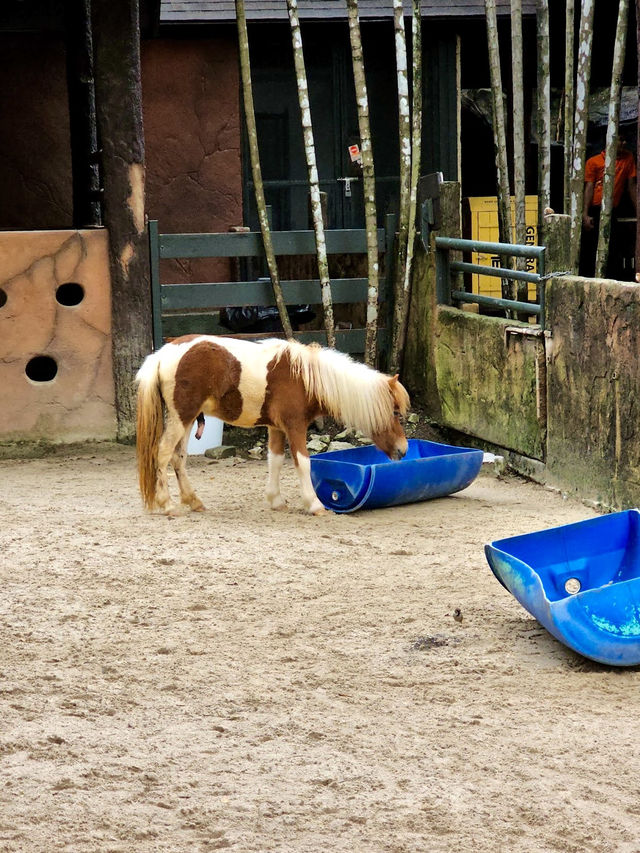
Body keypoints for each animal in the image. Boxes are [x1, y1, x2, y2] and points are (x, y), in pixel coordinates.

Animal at [135, 336, 410, 516]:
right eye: (395, 412)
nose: (403, 450)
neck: (305, 377)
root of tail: (163, 354)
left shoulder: (277, 428)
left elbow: (275, 460)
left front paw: (276, 501)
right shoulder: (295, 426)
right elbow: (303, 462)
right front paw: (314, 505)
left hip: (188, 420)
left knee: (178, 458)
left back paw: (193, 501)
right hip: (182, 418)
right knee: (162, 454)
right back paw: (168, 504)